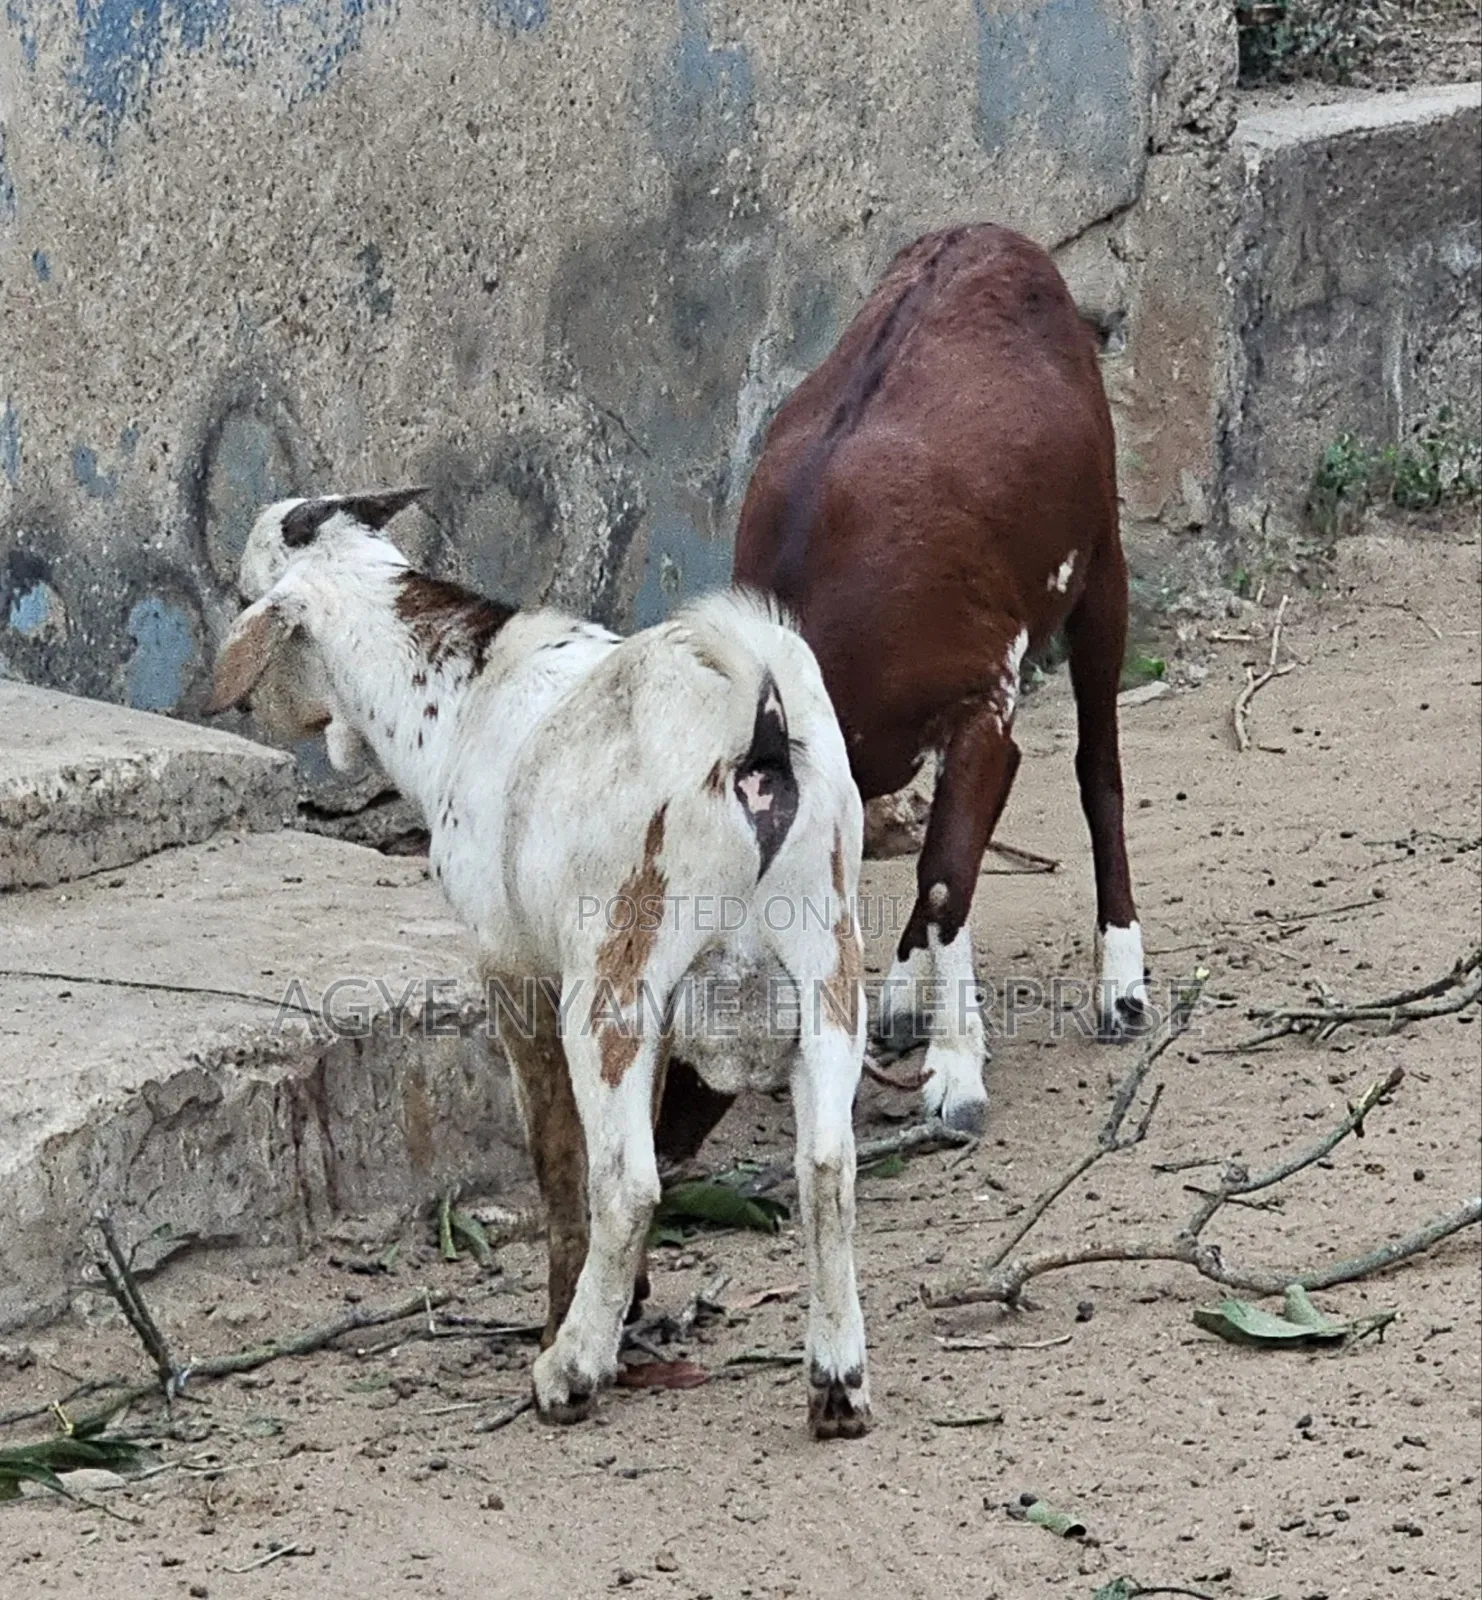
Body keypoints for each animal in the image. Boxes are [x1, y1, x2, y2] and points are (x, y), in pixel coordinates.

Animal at [206, 489, 871, 1439]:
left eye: (241, 590)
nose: (249, 709)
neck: (461, 695)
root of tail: (757, 734)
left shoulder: (516, 969)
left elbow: (558, 1161)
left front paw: (571, 1326)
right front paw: (633, 1304)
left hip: (612, 987)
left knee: (627, 1181)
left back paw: (570, 1370)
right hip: (827, 971)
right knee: (826, 1167)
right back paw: (837, 1384)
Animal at [730, 223, 1151, 1132]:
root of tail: (991, 234)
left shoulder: (981, 706)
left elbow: (947, 877)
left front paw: (956, 1075)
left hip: (1101, 560)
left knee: (1098, 769)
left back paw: (1122, 987)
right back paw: (899, 997)